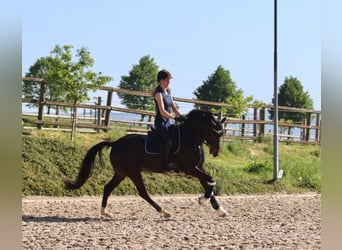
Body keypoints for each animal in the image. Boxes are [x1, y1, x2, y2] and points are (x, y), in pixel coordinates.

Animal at [65, 109, 227, 217]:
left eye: (221, 134)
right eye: (215, 132)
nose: (215, 151)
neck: (191, 138)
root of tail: (115, 143)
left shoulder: (199, 168)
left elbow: (208, 184)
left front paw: (219, 210)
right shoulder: (189, 169)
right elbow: (211, 180)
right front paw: (202, 199)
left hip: (121, 173)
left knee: (108, 188)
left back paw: (105, 213)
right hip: (133, 172)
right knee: (143, 192)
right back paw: (164, 212)